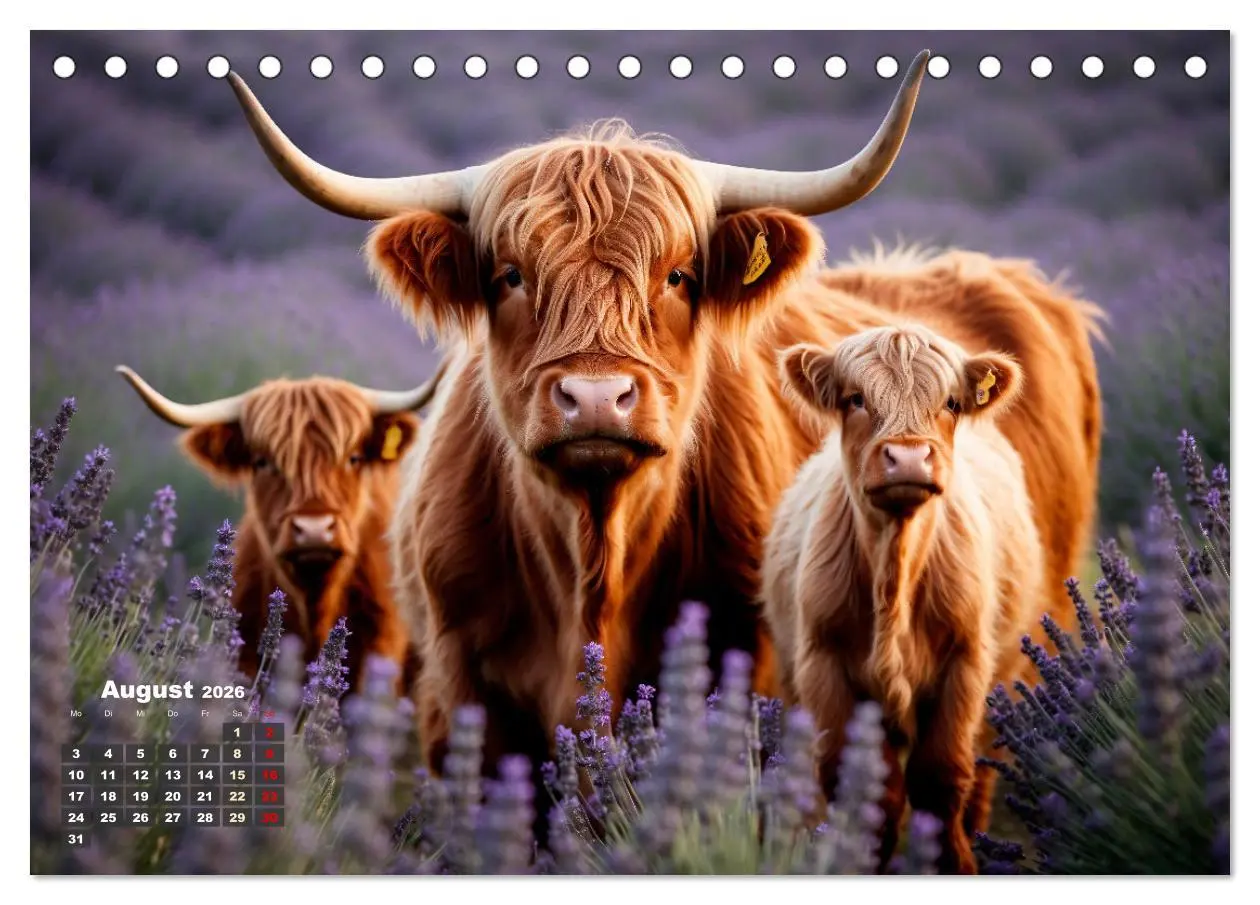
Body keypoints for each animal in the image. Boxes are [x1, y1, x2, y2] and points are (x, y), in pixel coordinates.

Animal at [761, 323, 1045, 874]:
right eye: (855, 398)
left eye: (951, 402)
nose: (909, 457)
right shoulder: (823, 667)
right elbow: (867, 795)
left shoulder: (965, 664)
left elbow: (940, 779)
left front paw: (955, 862)